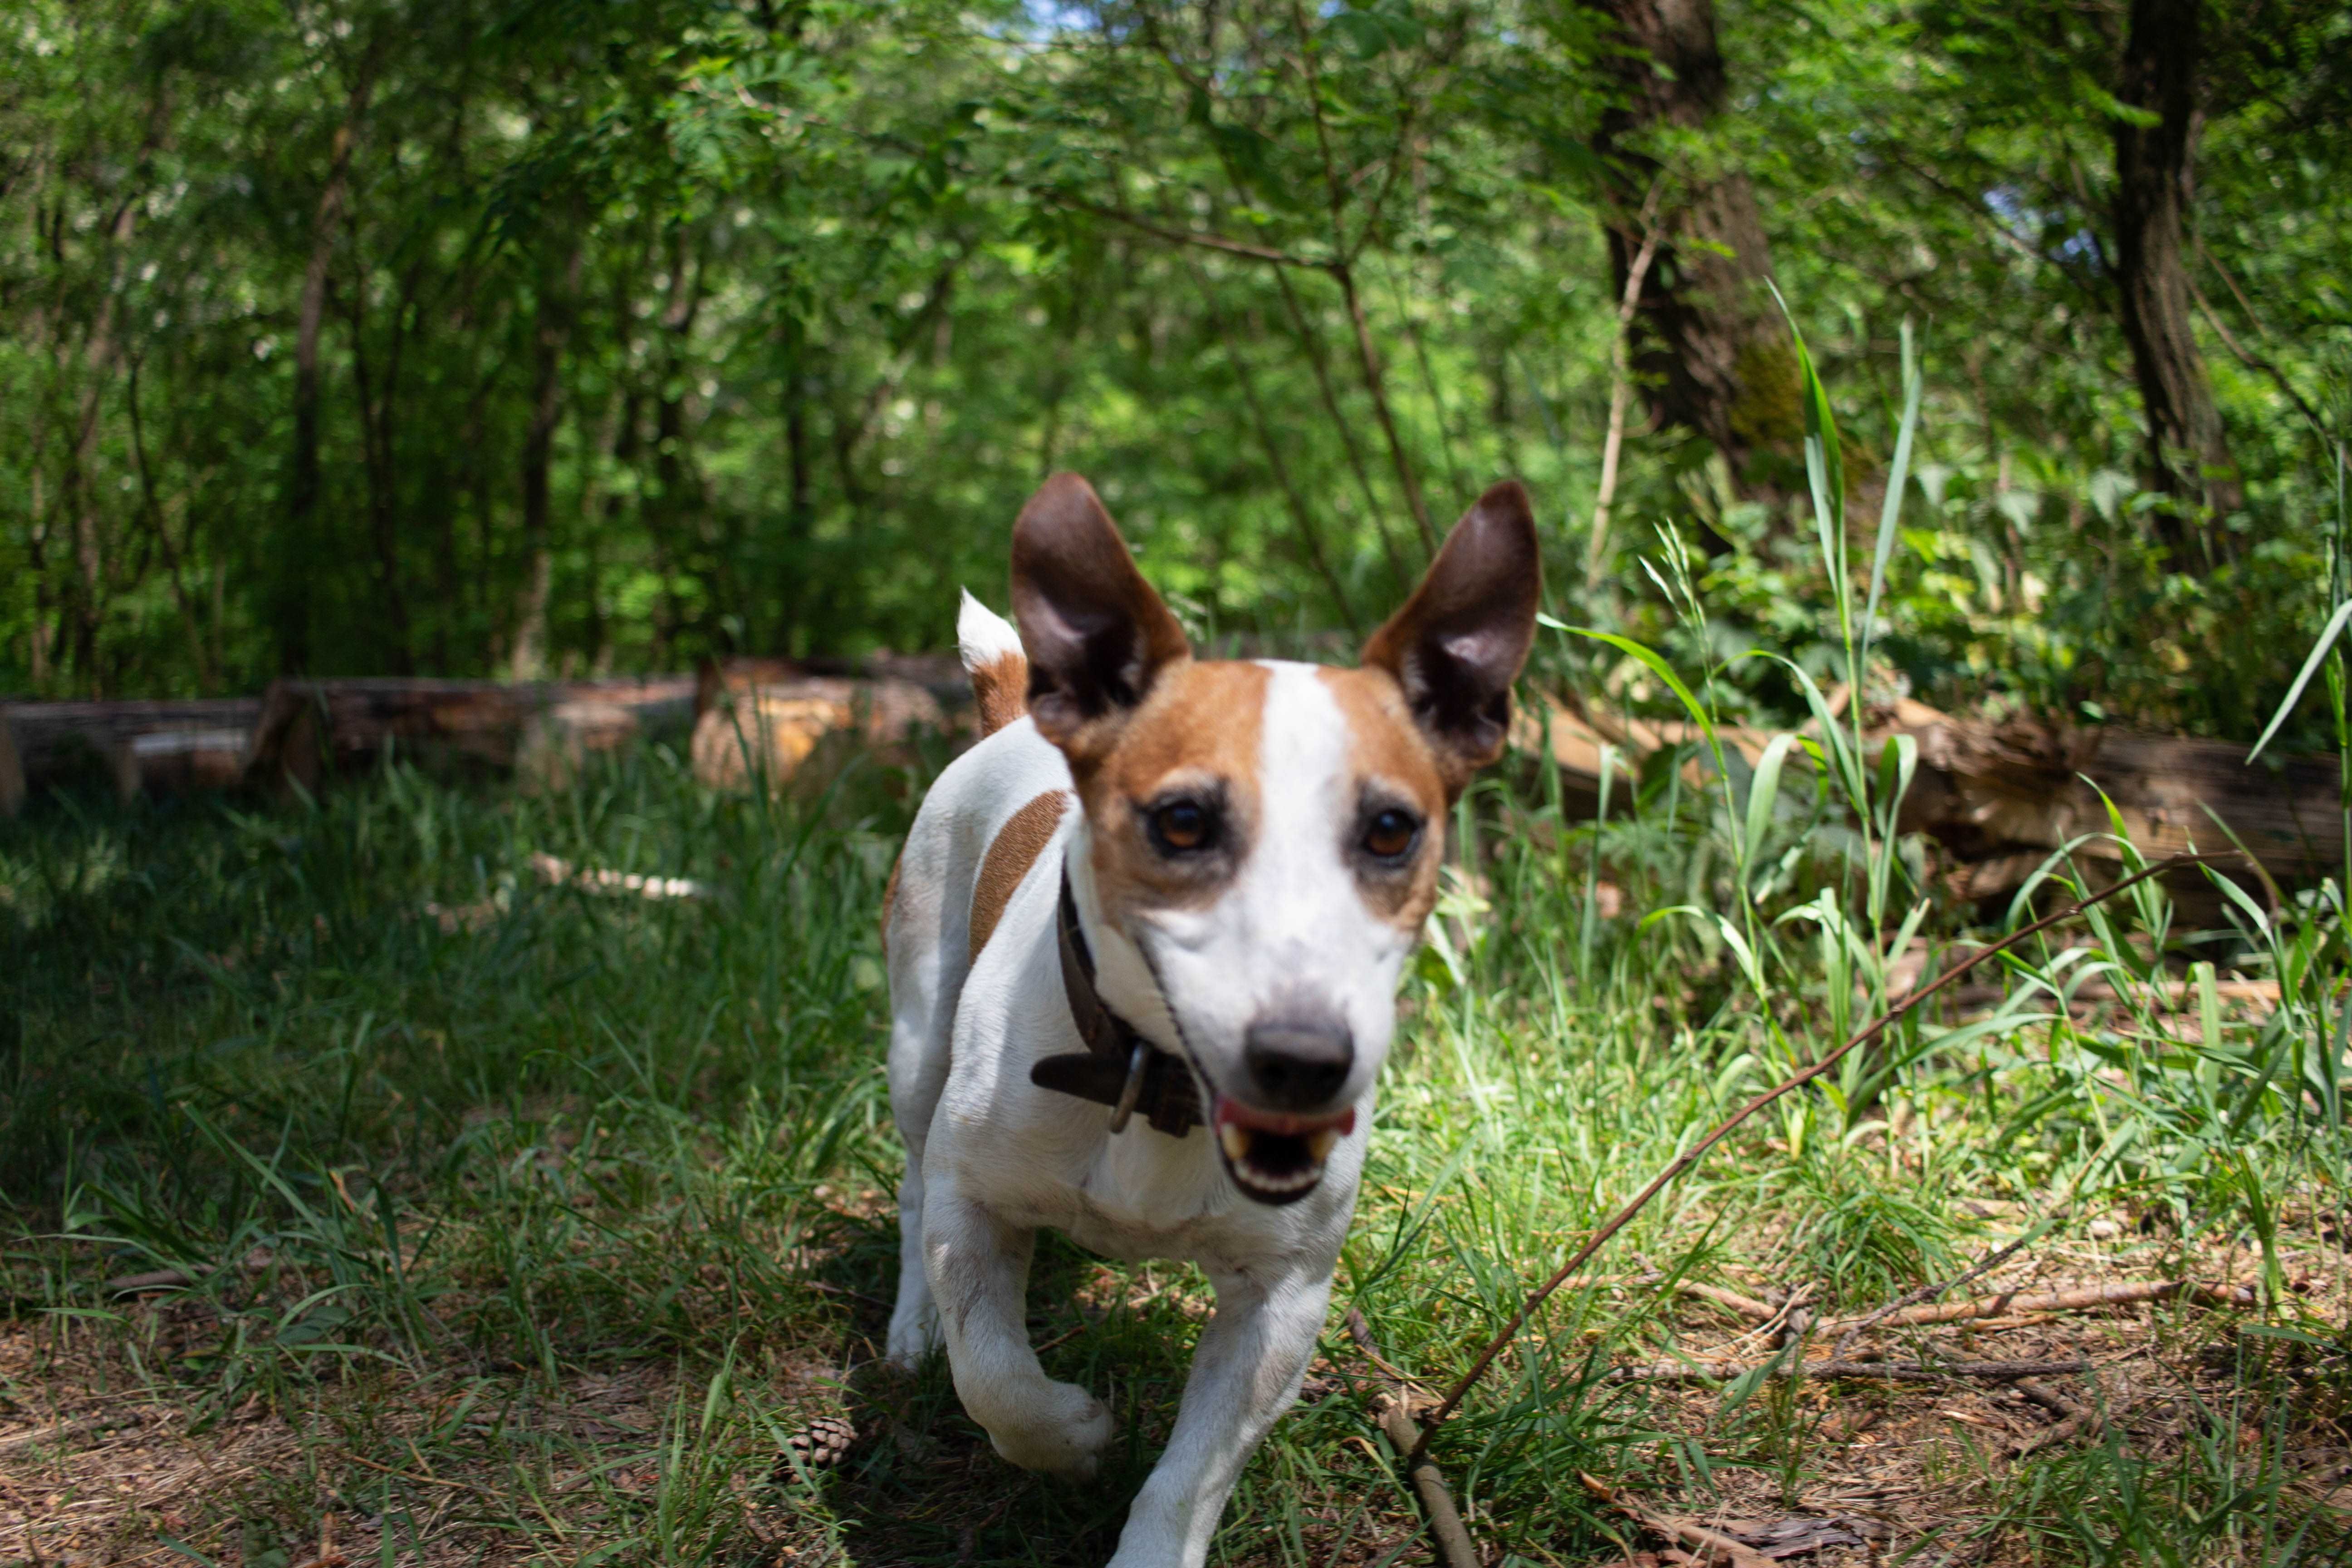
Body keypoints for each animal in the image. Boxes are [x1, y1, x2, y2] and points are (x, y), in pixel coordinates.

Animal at [884, 472, 1543, 1561]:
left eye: (1391, 830)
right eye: (1182, 822)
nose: (1305, 1058)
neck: (1153, 1084)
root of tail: (1013, 716)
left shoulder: (1282, 1303)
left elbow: (1190, 1478)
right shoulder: (969, 1207)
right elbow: (996, 1375)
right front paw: (1068, 1432)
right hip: (917, 1042)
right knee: (909, 1191)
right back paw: (912, 1330)